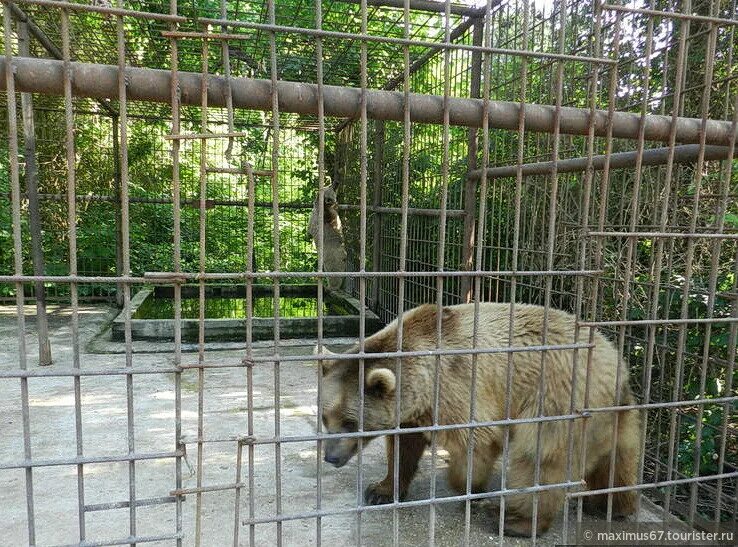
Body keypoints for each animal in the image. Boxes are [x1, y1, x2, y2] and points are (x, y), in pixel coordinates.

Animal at [320, 302, 640, 536]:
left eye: (351, 423)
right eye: (325, 418)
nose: (330, 457)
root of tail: (616, 362)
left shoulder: (456, 387)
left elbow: (477, 441)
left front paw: (467, 486)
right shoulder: (414, 411)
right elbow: (403, 447)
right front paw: (380, 489)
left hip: (558, 395)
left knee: (539, 457)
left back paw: (513, 520)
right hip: (615, 414)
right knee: (618, 457)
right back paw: (613, 504)